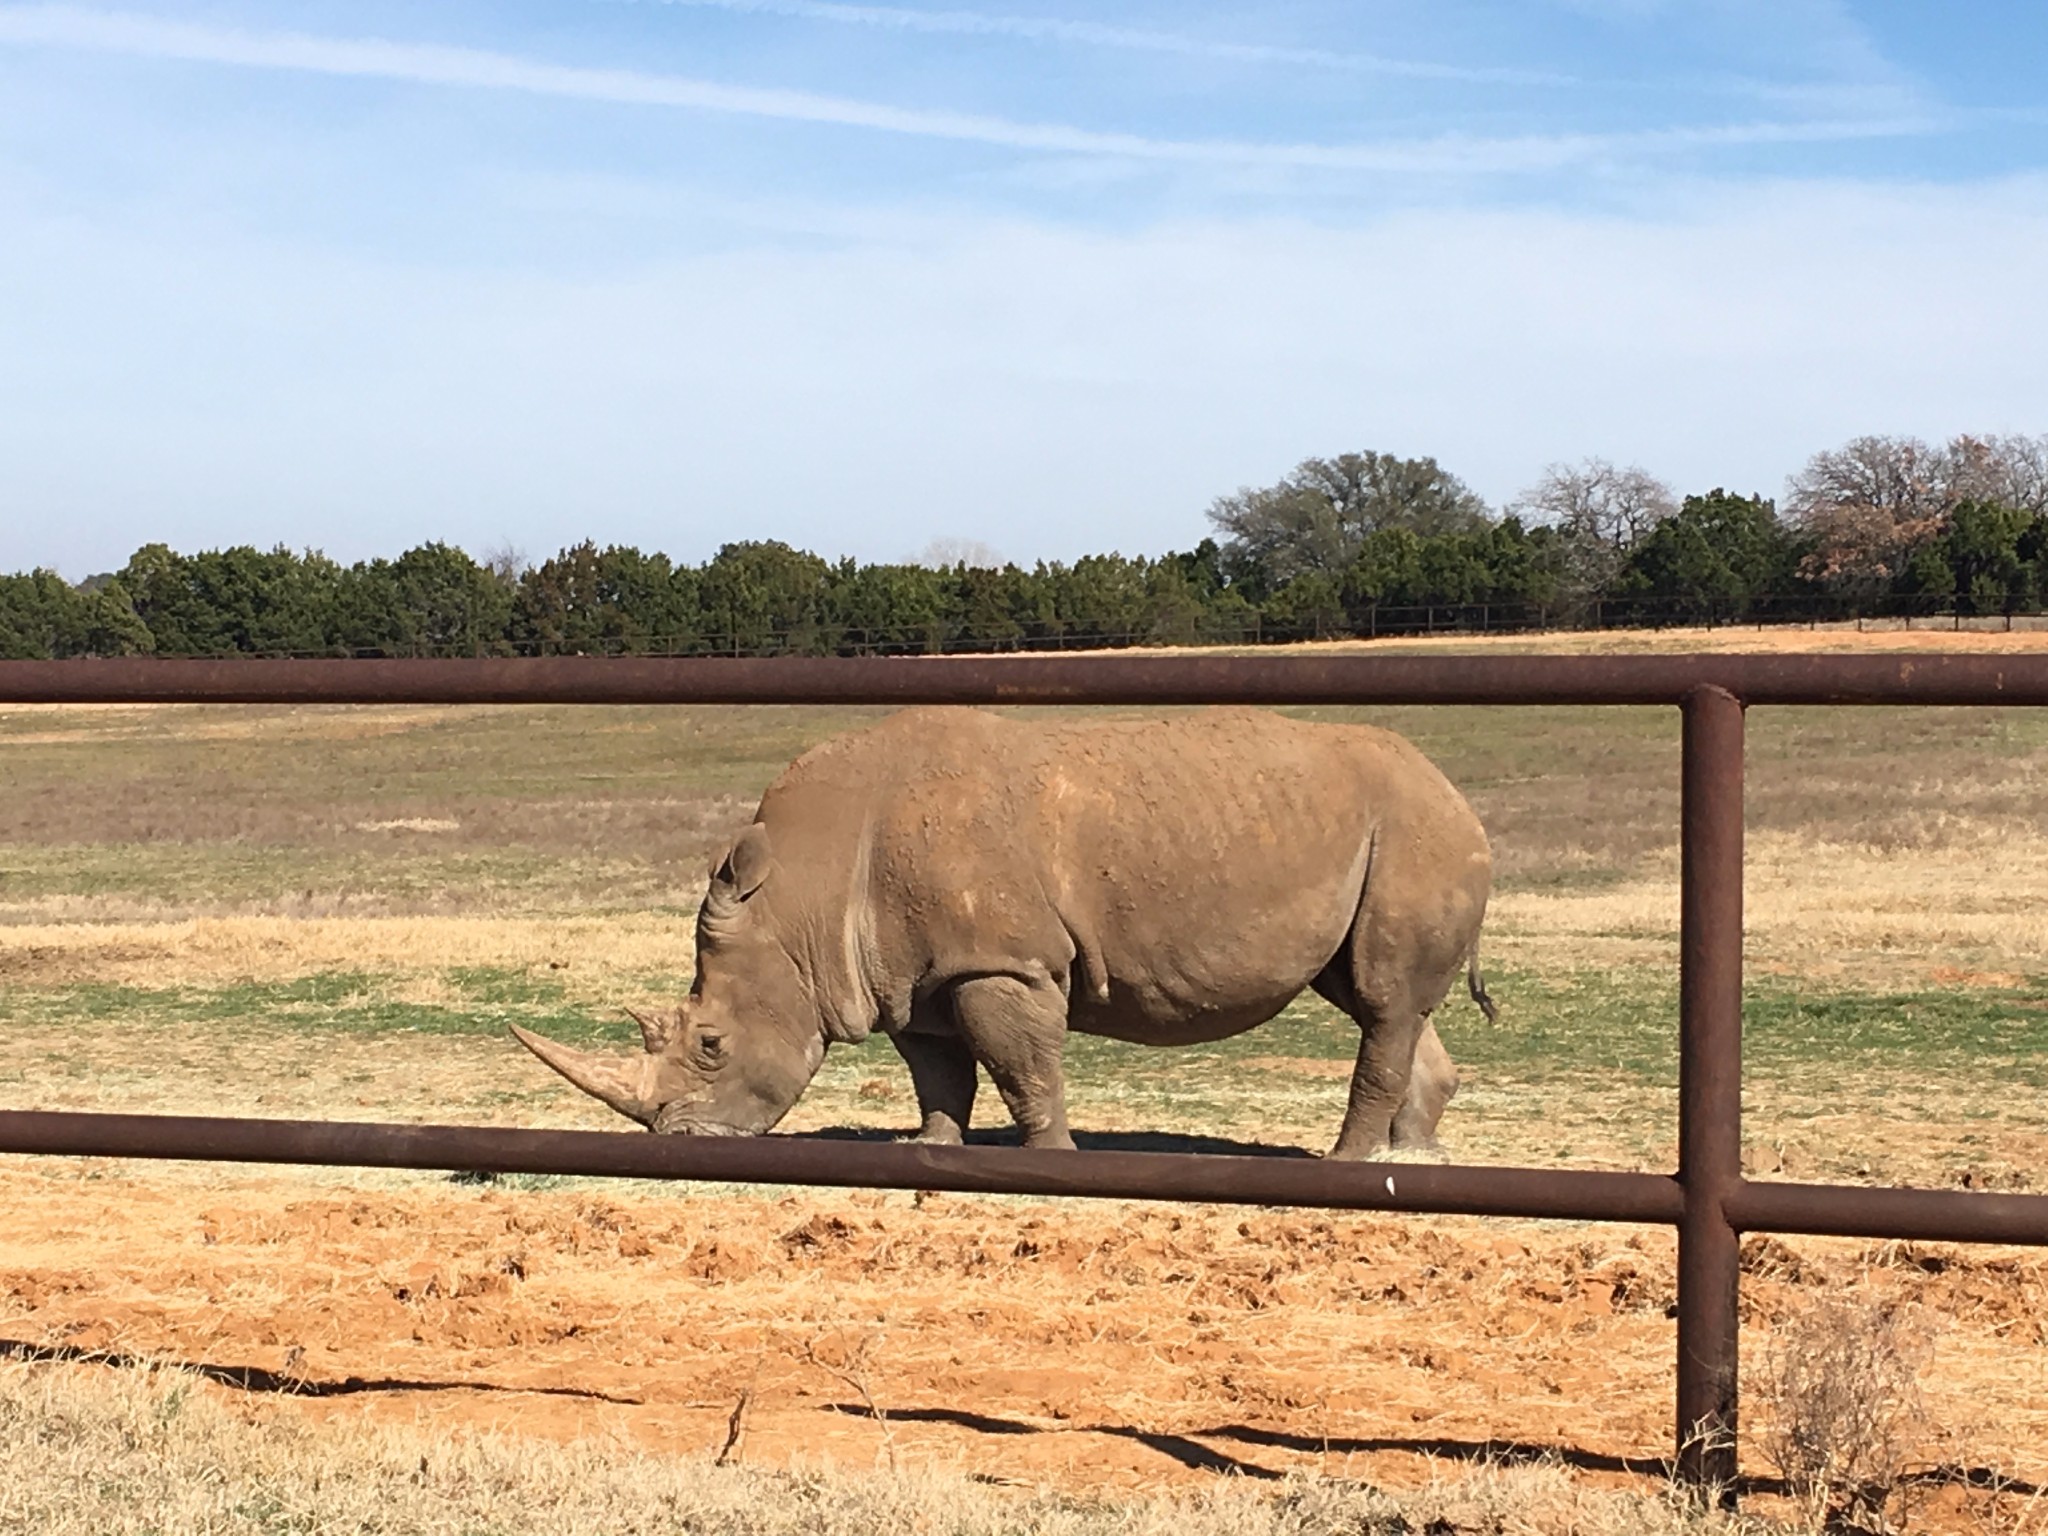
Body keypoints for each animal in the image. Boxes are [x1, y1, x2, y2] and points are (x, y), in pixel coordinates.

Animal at [512, 708, 1499, 1155]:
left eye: (711, 1044)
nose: (676, 1141)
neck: (800, 900)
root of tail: (1460, 794)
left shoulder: (1001, 962)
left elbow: (1024, 1066)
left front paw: (1054, 1157)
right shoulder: (909, 972)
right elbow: (938, 1071)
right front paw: (928, 1151)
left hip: (1416, 831)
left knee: (1381, 1001)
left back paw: (1349, 1160)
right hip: (1388, 833)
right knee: (1380, 1000)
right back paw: (1418, 1156)